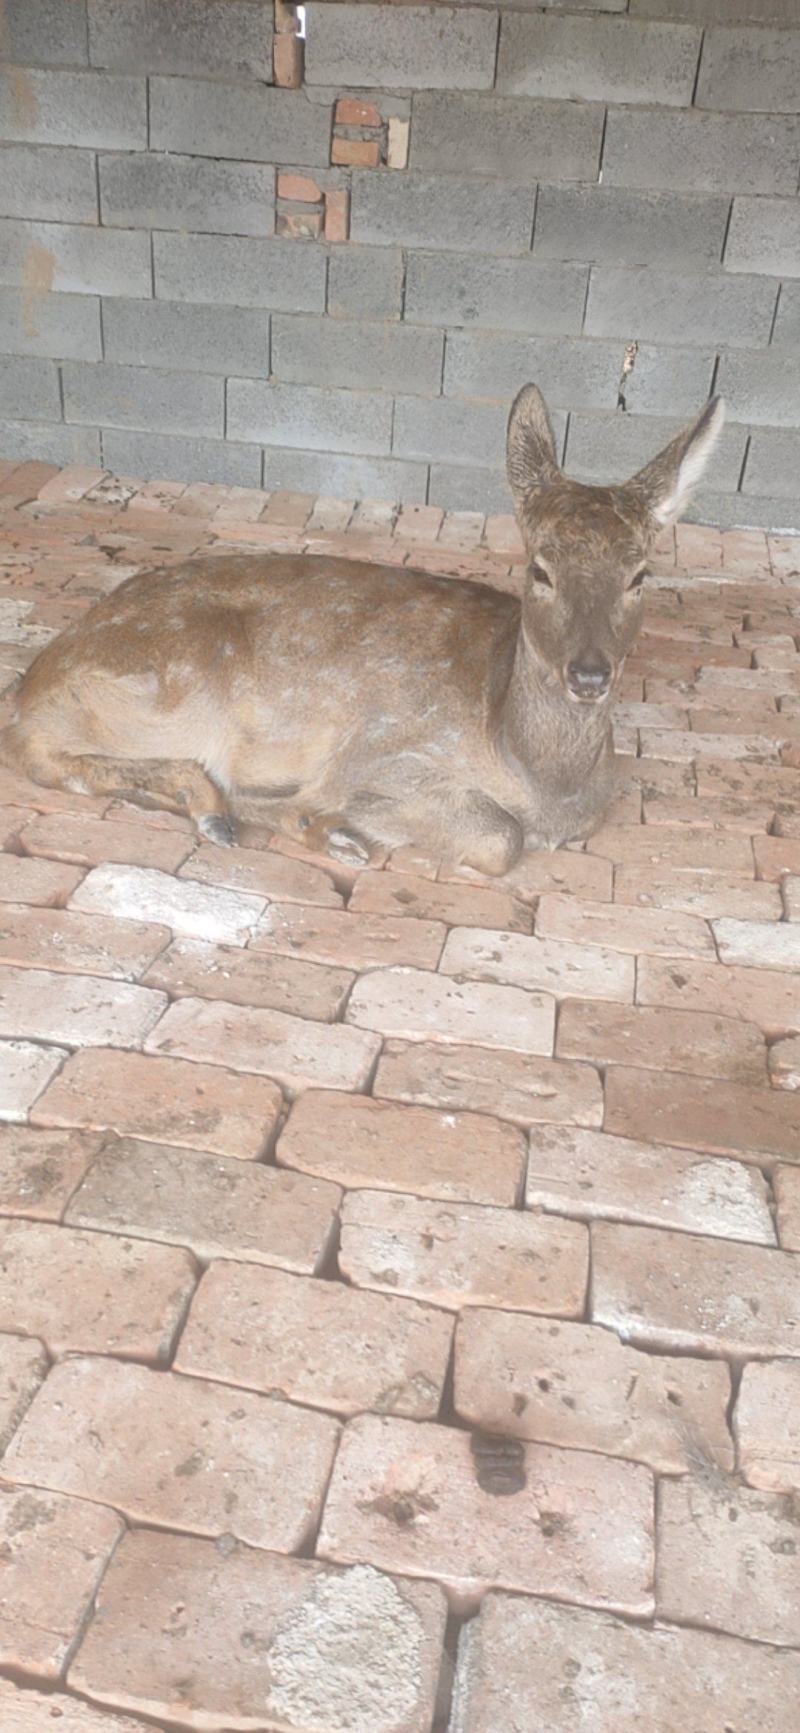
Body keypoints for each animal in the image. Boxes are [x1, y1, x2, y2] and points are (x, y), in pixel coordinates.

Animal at [0, 385, 724, 877]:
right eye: (540, 569)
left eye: (640, 575)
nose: (590, 673)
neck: (544, 782)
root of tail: (31, 677)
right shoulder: (383, 751)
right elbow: (499, 838)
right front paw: (332, 822)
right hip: (172, 690)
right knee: (37, 749)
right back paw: (236, 814)